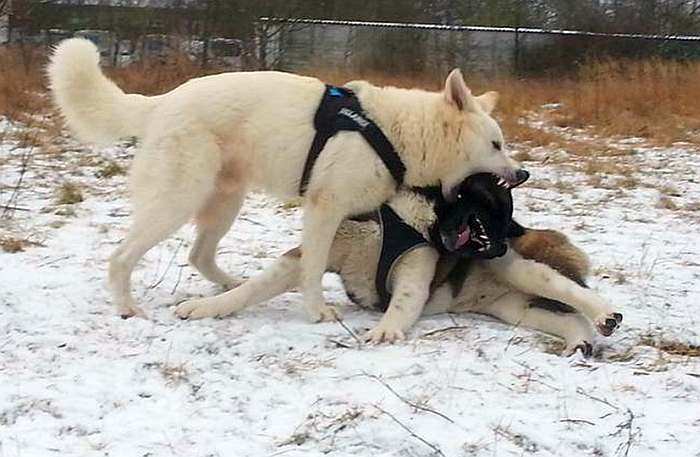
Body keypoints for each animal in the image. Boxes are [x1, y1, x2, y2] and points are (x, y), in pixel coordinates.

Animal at [49, 39, 524, 318]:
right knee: (121, 257)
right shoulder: (324, 210)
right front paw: (318, 313)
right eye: (496, 144)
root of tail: (161, 102)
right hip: (177, 201)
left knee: (198, 255)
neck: (396, 134)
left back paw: (228, 286)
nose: (522, 173)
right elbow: (313, 268)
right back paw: (129, 309)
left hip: (225, 203)